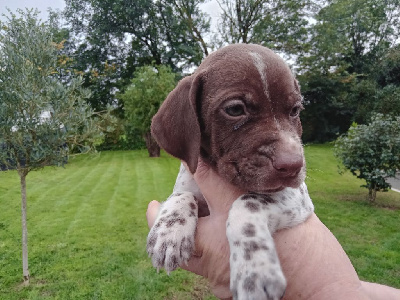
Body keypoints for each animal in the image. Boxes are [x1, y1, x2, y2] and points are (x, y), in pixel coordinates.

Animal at [145, 44, 314, 300]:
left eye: (295, 110)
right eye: (235, 109)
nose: (294, 165)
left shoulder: (299, 197)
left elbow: (247, 204)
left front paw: (255, 270)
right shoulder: (190, 181)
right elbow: (181, 195)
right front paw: (169, 231)